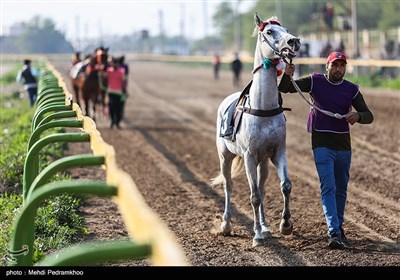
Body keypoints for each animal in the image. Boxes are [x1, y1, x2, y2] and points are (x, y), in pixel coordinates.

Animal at [212, 13, 300, 246]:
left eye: (287, 30)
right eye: (269, 31)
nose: (294, 41)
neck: (263, 108)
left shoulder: (277, 152)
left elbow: (285, 186)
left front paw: (284, 225)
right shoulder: (249, 156)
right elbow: (253, 196)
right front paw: (257, 235)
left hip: (264, 163)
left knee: (261, 187)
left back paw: (265, 226)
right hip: (225, 156)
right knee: (229, 186)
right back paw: (227, 225)